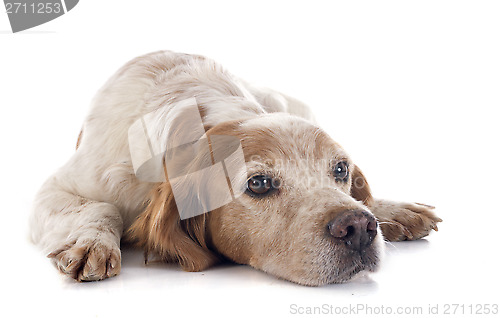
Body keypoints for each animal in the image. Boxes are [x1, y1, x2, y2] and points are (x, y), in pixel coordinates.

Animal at [29, 50, 442, 286]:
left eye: (340, 169)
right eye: (258, 184)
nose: (357, 228)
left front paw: (388, 210)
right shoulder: (58, 189)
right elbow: (102, 207)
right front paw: (91, 242)